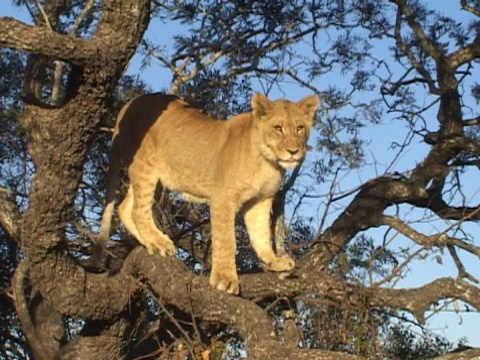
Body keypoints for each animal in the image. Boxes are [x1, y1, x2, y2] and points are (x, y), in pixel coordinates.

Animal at [98, 91, 318, 294]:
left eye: (300, 128)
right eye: (278, 128)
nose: (293, 151)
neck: (268, 162)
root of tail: (128, 105)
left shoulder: (260, 201)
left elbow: (261, 234)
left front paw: (273, 261)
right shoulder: (223, 198)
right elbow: (226, 240)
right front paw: (225, 279)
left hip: (155, 178)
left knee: (125, 207)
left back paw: (150, 243)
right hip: (145, 167)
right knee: (138, 210)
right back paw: (159, 243)